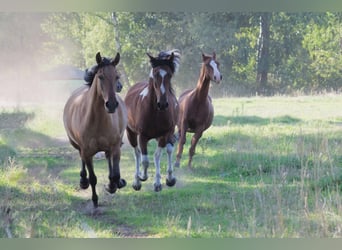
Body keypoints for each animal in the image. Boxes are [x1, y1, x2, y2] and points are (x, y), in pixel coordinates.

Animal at [62, 51, 127, 208]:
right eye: (101, 77)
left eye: (117, 76)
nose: (111, 104)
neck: (97, 120)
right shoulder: (87, 152)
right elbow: (93, 178)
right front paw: (95, 200)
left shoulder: (115, 146)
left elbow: (115, 174)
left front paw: (114, 185)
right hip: (77, 145)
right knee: (81, 157)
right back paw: (83, 181)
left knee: (109, 159)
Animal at [124, 49, 180, 192]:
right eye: (155, 75)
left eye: (169, 75)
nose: (163, 104)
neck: (155, 112)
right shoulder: (142, 136)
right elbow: (144, 160)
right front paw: (142, 177)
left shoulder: (164, 135)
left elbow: (157, 156)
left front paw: (158, 183)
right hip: (131, 133)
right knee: (137, 153)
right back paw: (137, 181)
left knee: (169, 149)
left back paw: (170, 178)